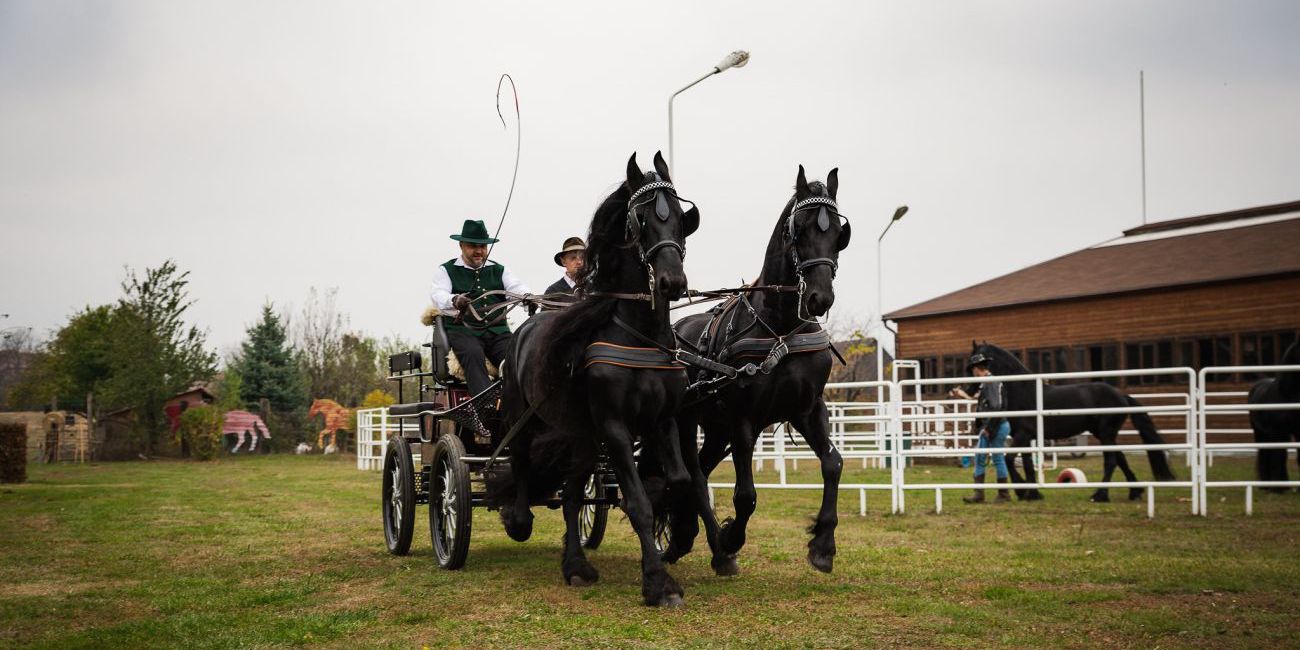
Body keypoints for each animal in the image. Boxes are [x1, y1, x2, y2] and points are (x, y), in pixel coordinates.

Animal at [491, 152, 707, 608]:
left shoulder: (662, 421)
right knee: (520, 461)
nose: (672, 282)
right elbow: (639, 503)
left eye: (681, 218)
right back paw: (518, 519)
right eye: (641, 219)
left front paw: (674, 536)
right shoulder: (615, 426)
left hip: (582, 435)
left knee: (572, 495)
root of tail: (526, 327)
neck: (640, 334)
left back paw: (575, 565)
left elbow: (677, 481)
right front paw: (658, 583)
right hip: (523, 415)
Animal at [972, 340, 1175, 501]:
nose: (970, 388)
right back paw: (1135, 492)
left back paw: (1100, 495)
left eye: (975, 361)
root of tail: (1121, 396)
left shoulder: (1023, 435)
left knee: (1111, 461)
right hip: (1103, 434)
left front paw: (1023, 492)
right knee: (1121, 459)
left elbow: (1009, 459)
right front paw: (1033, 493)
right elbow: (1027, 464)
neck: (1024, 391)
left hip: (1106, 433)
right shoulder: (1025, 437)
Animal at [1248, 343, 1300, 488]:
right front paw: (1279, 487)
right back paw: (1266, 484)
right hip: (1259, 432)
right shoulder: (1278, 432)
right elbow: (1279, 456)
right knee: (1265, 453)